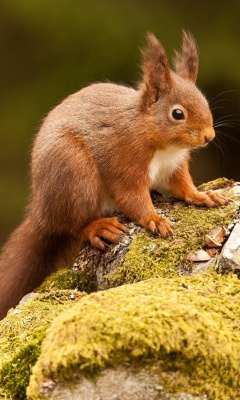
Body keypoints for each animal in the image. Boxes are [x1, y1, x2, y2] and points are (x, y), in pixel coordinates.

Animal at [0, 32, 227, 318]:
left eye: (204, 101)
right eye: (178, 114)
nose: (209, 136)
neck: (162, 143)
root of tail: (40, 213)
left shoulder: (174, 167)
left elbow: (183, 187)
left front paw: (204, 196)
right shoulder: (125, 162)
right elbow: (131, 196)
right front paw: (154, 218)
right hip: (74, 175)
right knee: (72, 224)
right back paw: (98, 227)